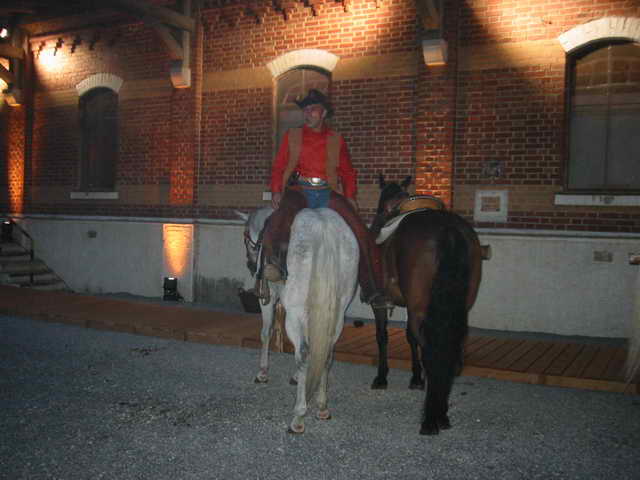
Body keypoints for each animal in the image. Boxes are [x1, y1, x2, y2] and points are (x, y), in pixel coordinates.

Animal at [282, 208, 359, 433]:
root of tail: (323, 227)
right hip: (339, 314)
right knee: (326, 355)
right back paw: (322, 407)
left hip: (294, 314)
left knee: (304, 354)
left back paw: (298, 417)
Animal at [370, 175, 483, 435]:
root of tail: (448, 230)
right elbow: (410, 338)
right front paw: (416, 379)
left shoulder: (383, 302)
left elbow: (384, 336)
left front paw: (382, 377)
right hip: (457, 309)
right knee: (451, 351)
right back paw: (441, 413)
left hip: (422, 309)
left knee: (432, 352)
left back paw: (432, 418)